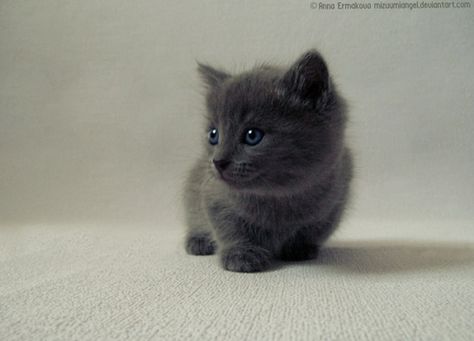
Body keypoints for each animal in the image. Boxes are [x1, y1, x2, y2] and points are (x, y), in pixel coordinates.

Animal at [183, 50, 354, 272]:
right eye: (213, 135)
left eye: (252, 135)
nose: (218, 161)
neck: (278, 196)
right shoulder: (213, 195)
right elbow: (229, 227)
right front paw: (241, 255)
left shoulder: (333, 203)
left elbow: (313, 229)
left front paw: (300, 249)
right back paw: (198, 241)